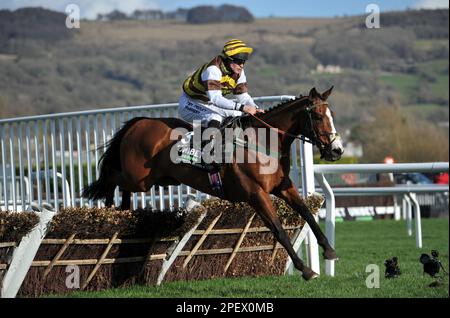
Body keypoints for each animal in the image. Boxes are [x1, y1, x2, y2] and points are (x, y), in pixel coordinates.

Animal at [83, 85, 344, 280]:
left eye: (332, 116)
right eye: (318, 116)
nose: (337, 150)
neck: (261, 143)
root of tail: (140, 122)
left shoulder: (283, 186)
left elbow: (307, 213)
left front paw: (330, 250)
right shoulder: (256, 194)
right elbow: (278, 229)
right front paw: (306, 269)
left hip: (154, 179)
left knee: (123, 189)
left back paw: (123, 211)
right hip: (138, 178)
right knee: (111, 178)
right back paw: (110, 207)